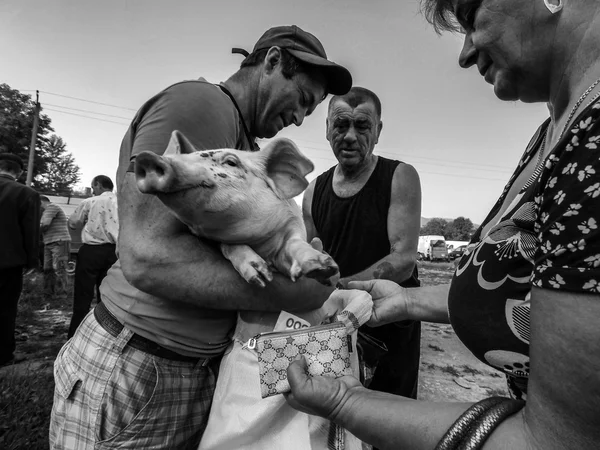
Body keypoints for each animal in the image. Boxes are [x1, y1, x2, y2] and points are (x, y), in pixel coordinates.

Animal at [135, 128, 338, 286]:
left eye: (231, 162)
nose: (146, 157)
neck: (260, 244)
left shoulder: (294, 226)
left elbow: (295, 244)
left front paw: (324, 268)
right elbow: (229, 246)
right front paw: (261, 278)